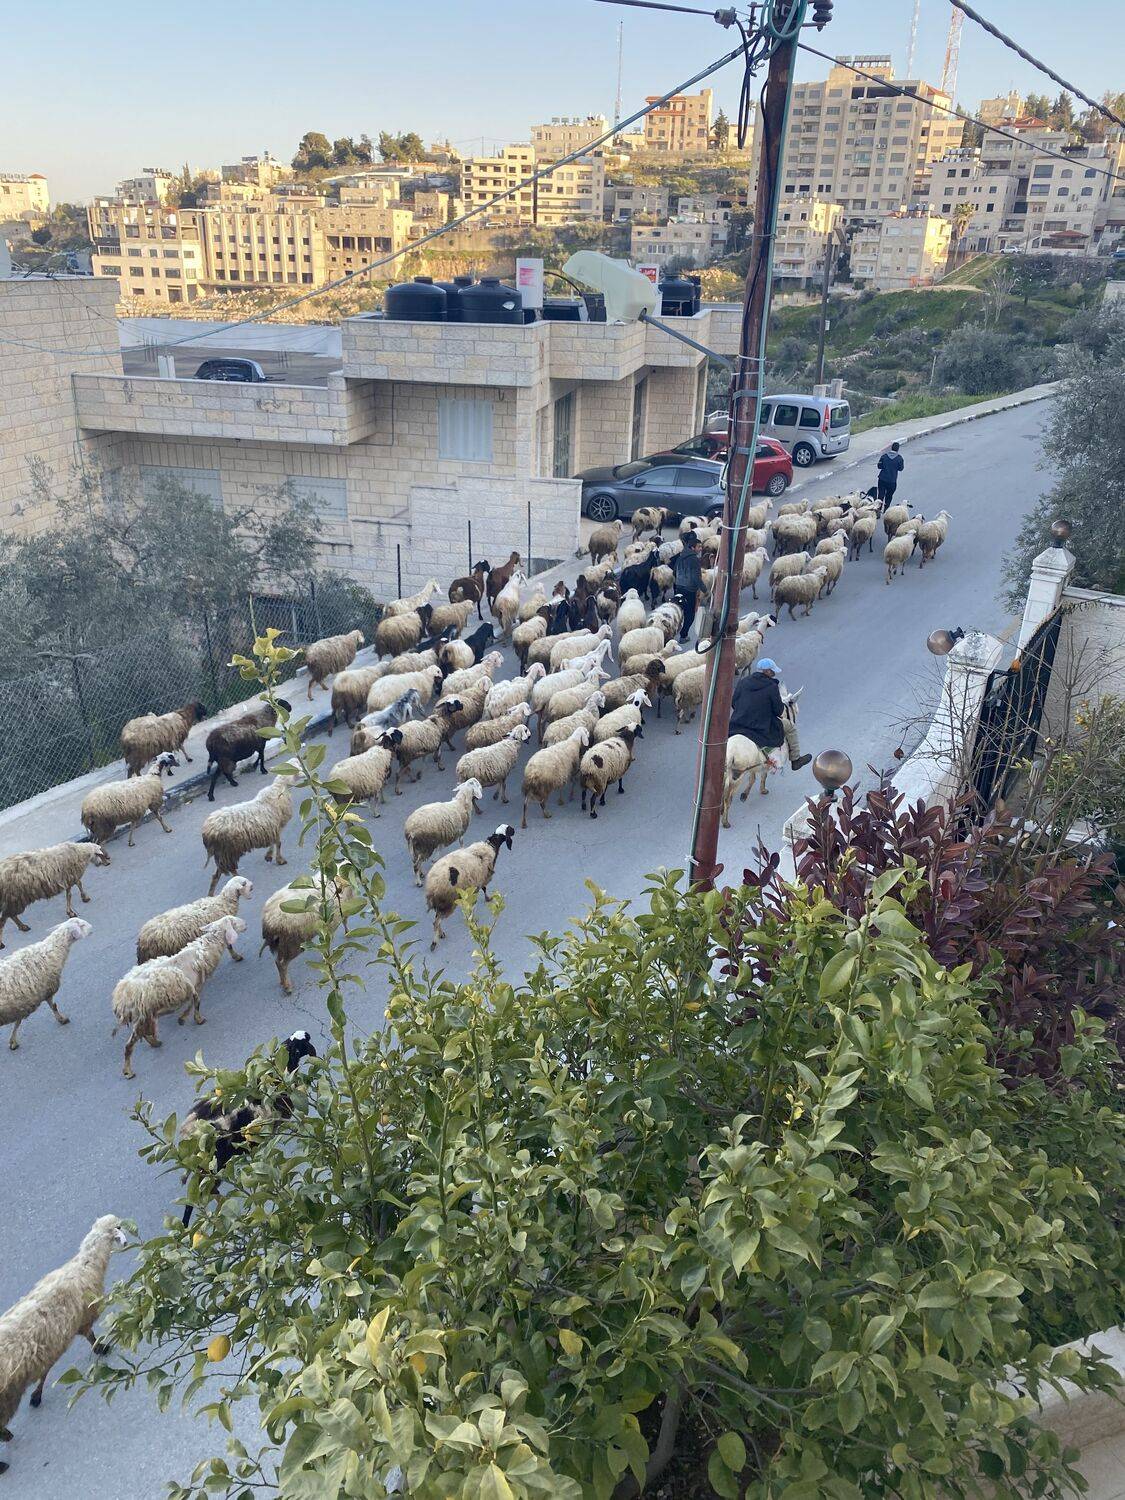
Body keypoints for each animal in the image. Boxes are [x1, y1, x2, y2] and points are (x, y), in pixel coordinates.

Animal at [0, 917, 90, 1051]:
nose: (92, 928)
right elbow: (53, 1006)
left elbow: (18, 1021)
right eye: (82, 925)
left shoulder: (24, 1001)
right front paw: (62, 1019)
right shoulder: (42, 992)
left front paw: (12, 1041)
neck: (51, 952)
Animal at [0, 1214, 126, 1469]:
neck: (84, 1265)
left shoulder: (51, 1344)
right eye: (118, 1227)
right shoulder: (82, 1320)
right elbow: (90, 1338)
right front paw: (102, 1349)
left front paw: (37, 1395)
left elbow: (46, 1369)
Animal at [111, 916, 244, 1077]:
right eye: (234, 922)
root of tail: (120, 997)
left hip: (142, 1016)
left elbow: (193, 1002)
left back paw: (154, 1043)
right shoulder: (194, 986)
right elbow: (196, 1003)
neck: (203, 950)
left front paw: (185, 1018)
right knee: (130, 1044)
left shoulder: (193, 987)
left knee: (138, 1037)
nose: (245, 924)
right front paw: (194, 1019)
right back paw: (129, 1071)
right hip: (143, 1014)